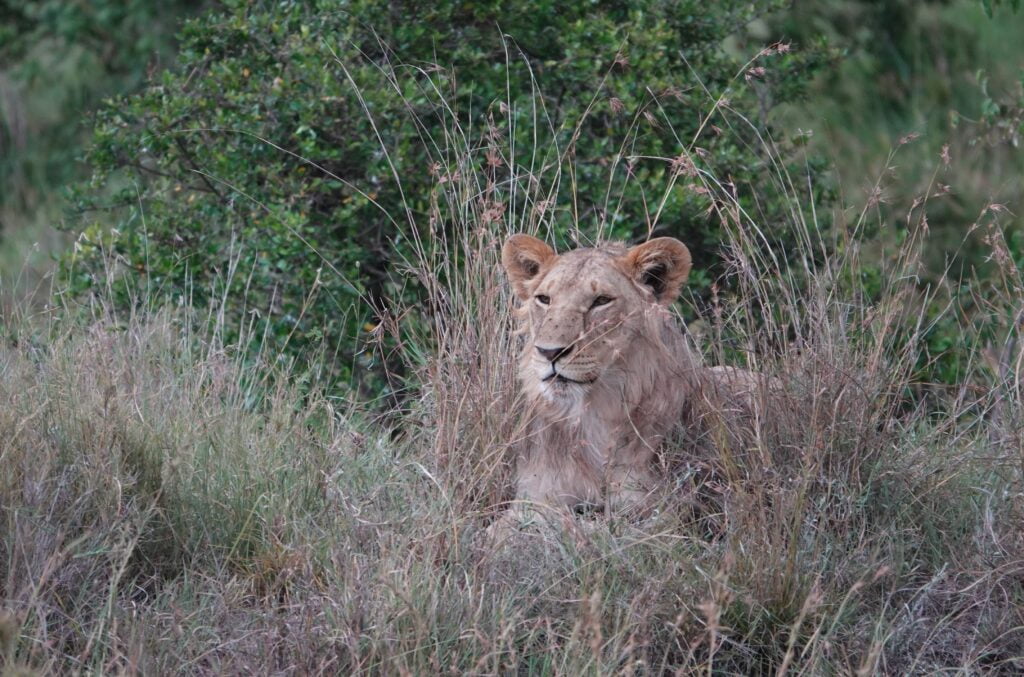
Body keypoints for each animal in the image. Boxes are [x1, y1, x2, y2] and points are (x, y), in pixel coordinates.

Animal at [495, 232, 761, 522]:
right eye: (544, 299)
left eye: (601, 301)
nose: (549, 352)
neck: (591, 415)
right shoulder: (534, 500)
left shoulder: (655, 511)